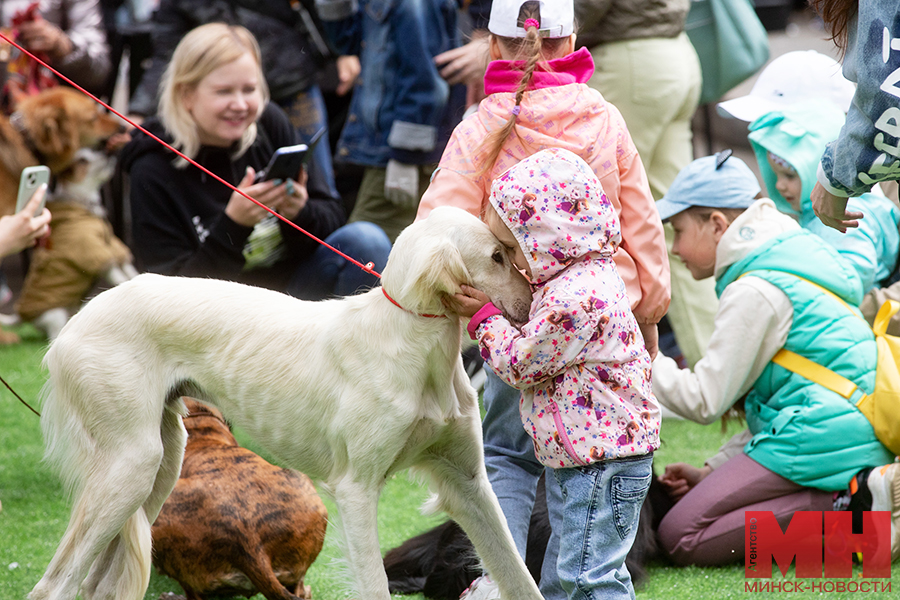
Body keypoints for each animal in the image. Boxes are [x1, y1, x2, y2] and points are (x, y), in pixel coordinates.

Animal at [14, 148, 137, 340]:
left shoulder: (113, 246)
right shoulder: (93, 250)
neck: (85, 203)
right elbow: (116, 274)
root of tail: (22, 317)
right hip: (55, 315)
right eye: (82, 160)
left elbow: (129, 268)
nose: (108, 152)